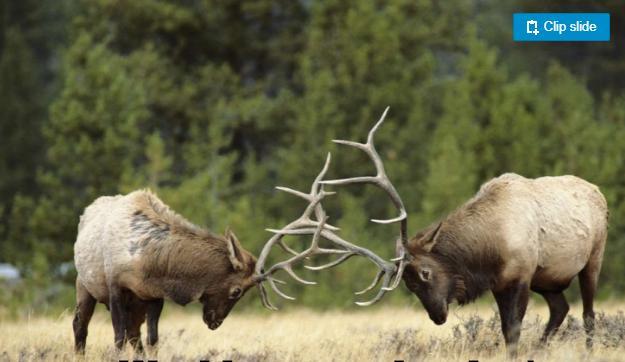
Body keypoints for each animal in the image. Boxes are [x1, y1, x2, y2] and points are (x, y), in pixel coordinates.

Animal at [72, 191, 260, 352]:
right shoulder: (116, 289)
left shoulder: (153, 295)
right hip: (84, 286)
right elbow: (119, 339)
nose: (216, 322)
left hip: (136, 305)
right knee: (80, 325)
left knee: (134, 334)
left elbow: (152, 340)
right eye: (236, 291)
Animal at [255, 108, 608, 356]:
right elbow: (508, 331)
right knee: (560, 309)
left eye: (424, 273)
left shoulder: (520, 275)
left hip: (593, 258)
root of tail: (599, 192)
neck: (490, 248)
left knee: (588, 313)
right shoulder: (501, 282)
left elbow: (512, 331)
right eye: (407, 285)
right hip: (547, 279)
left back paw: (588, 351)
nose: (438, 316)